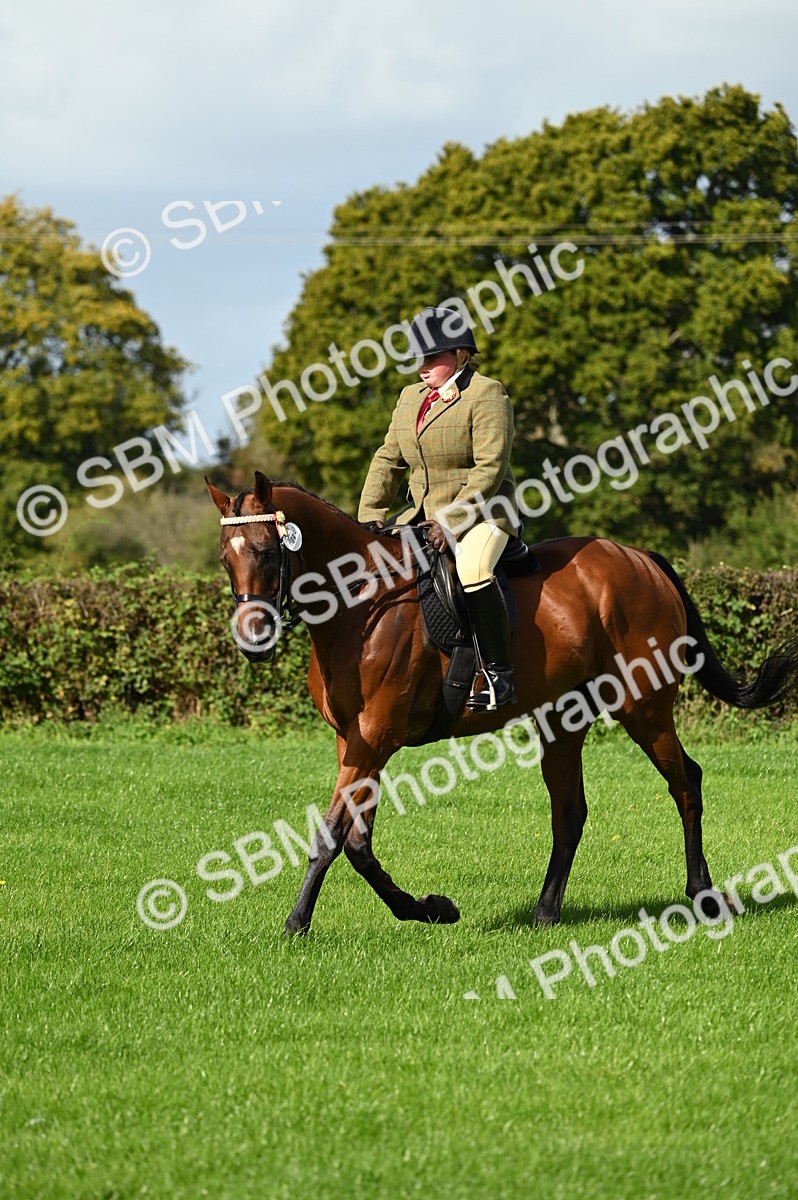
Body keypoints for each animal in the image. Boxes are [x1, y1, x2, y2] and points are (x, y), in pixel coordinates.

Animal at [207, 472, 798, 936]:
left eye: (267, 550)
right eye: (224, 559)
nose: (253, 641)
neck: (361, 606)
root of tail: (640, 559)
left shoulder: (375, 737)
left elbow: (333, 836)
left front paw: (297, 922)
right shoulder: (353, 741)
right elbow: (358, 840)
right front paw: (430, 909)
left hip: (643, 707)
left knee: (684, 782)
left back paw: (702, 895)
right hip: (563, 717)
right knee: (570, 809)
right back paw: (546, 912)